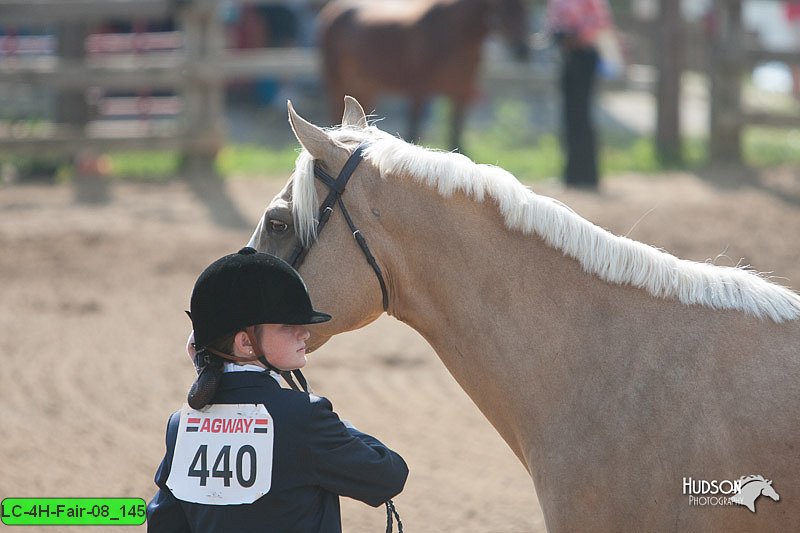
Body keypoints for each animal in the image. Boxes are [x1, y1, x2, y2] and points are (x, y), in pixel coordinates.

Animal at [318, 0, 532, 151]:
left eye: (525, 7)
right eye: (500, 6)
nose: (522, 50)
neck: (450, 33)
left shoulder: (461, 93)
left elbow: (456, 134)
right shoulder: (419, 92)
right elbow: (414, 130)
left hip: (366, 86)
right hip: (336, 80)